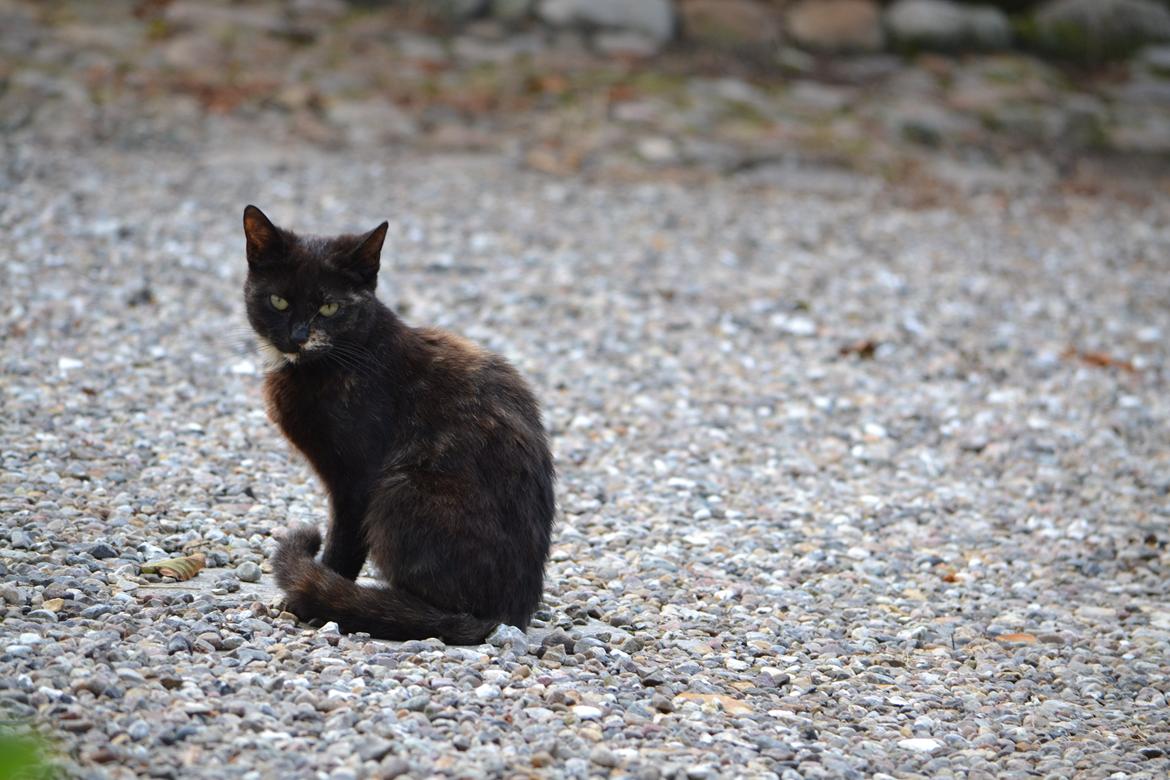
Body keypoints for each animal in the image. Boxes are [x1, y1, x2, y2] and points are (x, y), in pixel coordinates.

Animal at [239, 204, 554, 645]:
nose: (298, 337)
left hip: (401, 488)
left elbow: (343, 545)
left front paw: (309, 600)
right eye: (279, 301)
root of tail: (507, 614)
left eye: (329, 308)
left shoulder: (356, 481)